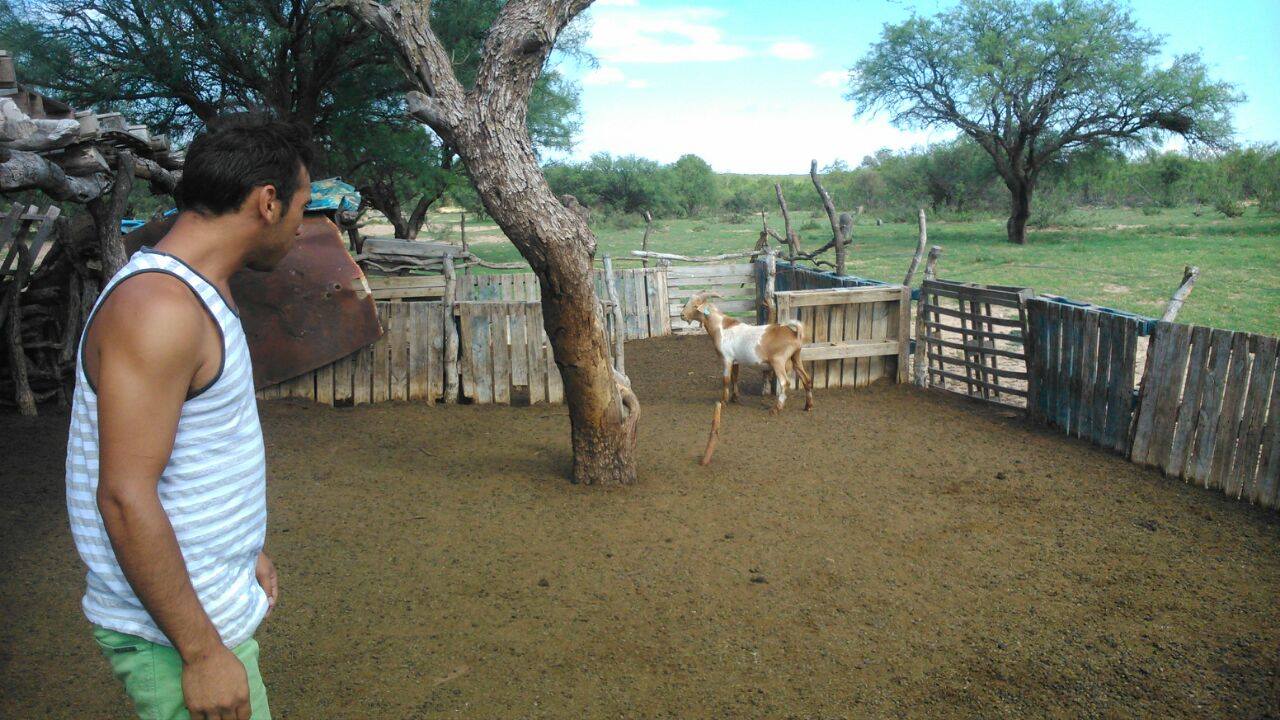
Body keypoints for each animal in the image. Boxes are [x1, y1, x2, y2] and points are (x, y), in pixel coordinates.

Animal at [675, 288, 814, 412]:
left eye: (695, 305)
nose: (682, 315)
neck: (721, 327)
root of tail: (794, 334)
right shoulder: (735, 360)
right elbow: (735, 377)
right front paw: (734, 398)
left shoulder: (727, 358)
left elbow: (726, 379)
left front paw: (723, 401)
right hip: (796, 356)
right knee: (807, 379)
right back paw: (808, 406)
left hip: (778, 361)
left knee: (785, 382)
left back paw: (776, 408)